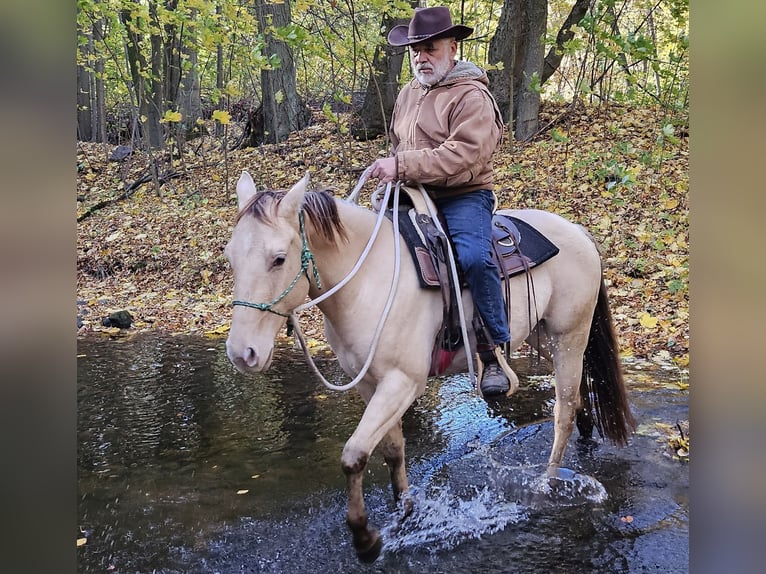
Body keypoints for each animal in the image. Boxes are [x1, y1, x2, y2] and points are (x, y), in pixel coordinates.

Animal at [224, 171, 635, 562]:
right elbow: (392, 450)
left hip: (570, 334)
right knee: (578, 391)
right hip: (545, 338)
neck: (367, 279)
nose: (242, 353)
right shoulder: (369, 384)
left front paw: (365, 540)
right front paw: (404, 512)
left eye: (279, 258)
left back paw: (546, 483)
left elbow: (354, 455)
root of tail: (578, 231)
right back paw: (585, 436)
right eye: (230, 257)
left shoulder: (402, 383)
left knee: (563, 410)